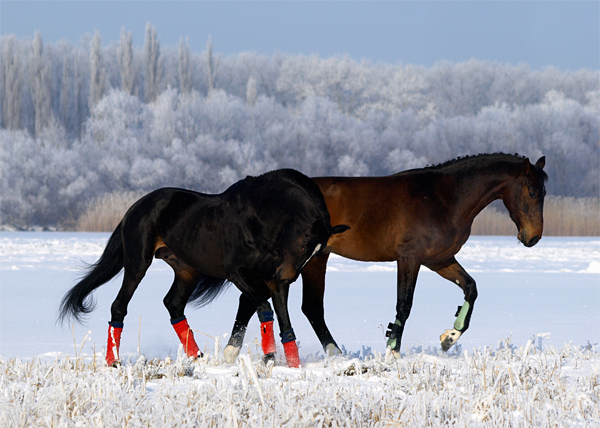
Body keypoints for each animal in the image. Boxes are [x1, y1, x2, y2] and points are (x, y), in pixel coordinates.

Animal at [58, 169, 350, 366]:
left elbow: (284, 323)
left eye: (318, 251)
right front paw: (268, 358)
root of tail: (135, 207)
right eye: (303, 243)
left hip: (187, 271)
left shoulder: (271, 279)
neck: (262, 216)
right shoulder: (238, 273)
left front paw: (290, 366)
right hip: (137, 264)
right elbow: (264, 309)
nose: (288, 276)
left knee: (173, 304)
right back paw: (114, 362)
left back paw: (197, 356)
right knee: (119, 306)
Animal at [223, 152, 548, 360]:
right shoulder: (410, 259)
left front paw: (448, 338)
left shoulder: (439, 260)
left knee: (289, 304)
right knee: (288, 302)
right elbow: (404, 304)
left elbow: (471, 288)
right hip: (305, 261)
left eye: (543, 193)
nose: (532, 237)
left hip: (314, 259)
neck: (444, 197)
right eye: (532, 192)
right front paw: (393, 349)